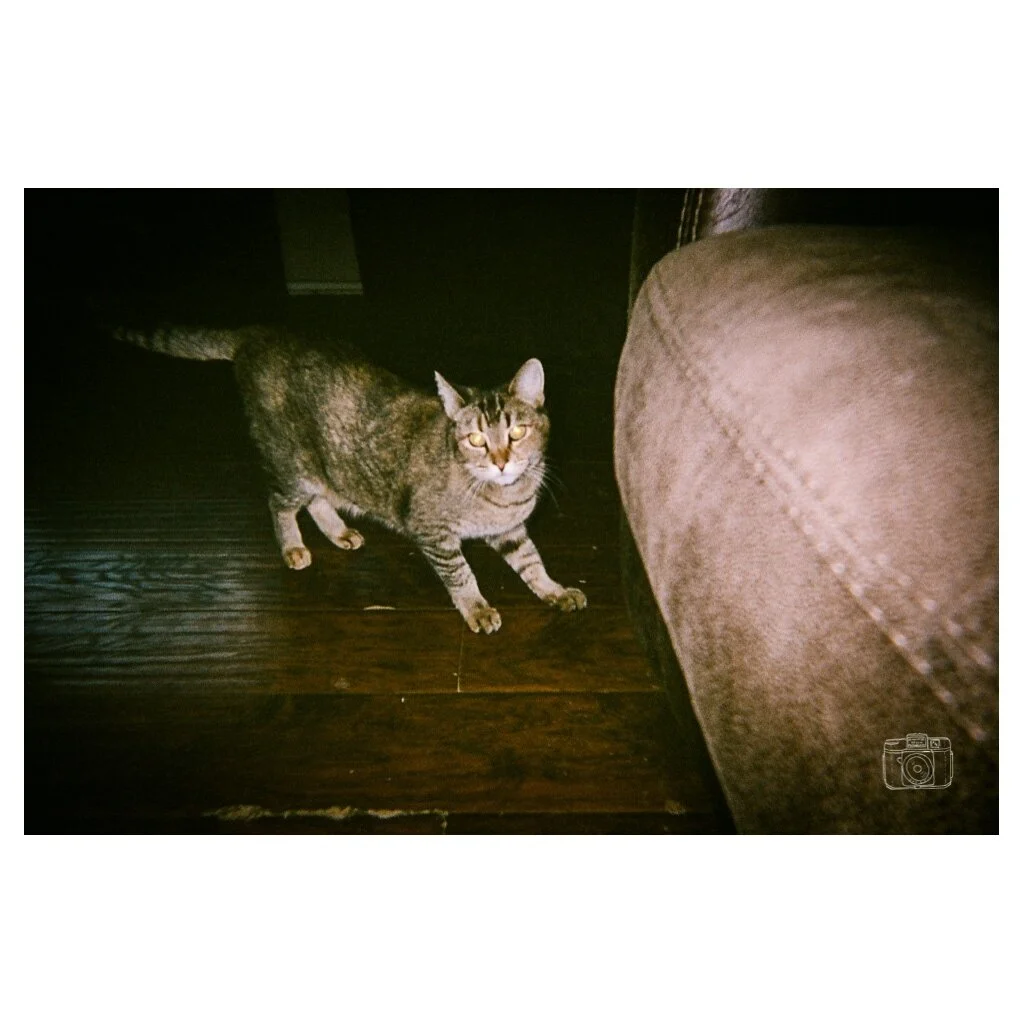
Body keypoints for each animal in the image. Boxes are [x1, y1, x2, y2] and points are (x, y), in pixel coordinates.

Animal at [113, 325, 586, 633]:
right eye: (475, 439)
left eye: (517, 432)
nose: (502, 462)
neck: (503, 496)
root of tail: (257, 336)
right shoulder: (433, 532)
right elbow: (461, 575)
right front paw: (477, 609)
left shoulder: (511, 530)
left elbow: (532, 563)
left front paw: (556, 590)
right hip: (294, 465)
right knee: (278, 502)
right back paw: (293, 546)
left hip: (326, 468)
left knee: (319, 500)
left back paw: (338, 532)